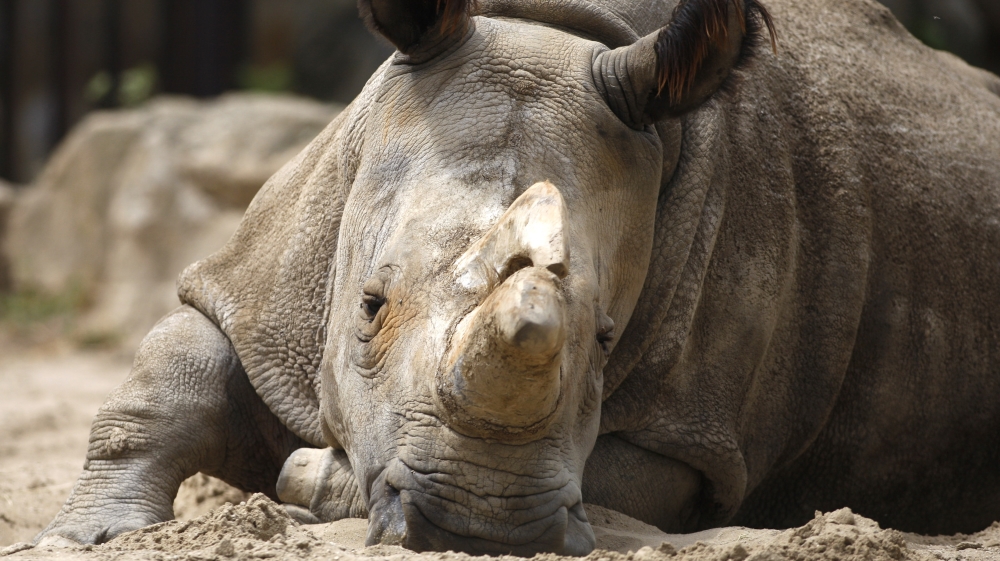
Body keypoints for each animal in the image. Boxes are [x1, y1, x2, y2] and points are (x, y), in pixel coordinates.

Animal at [36, 0, 1000, 555]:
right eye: (369, 305)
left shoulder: (693, 433)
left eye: (605, 337)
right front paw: (89, 534)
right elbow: (169, 377)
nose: (478, 523)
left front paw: (311, 478)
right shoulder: (261, 287)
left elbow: (614, 476)